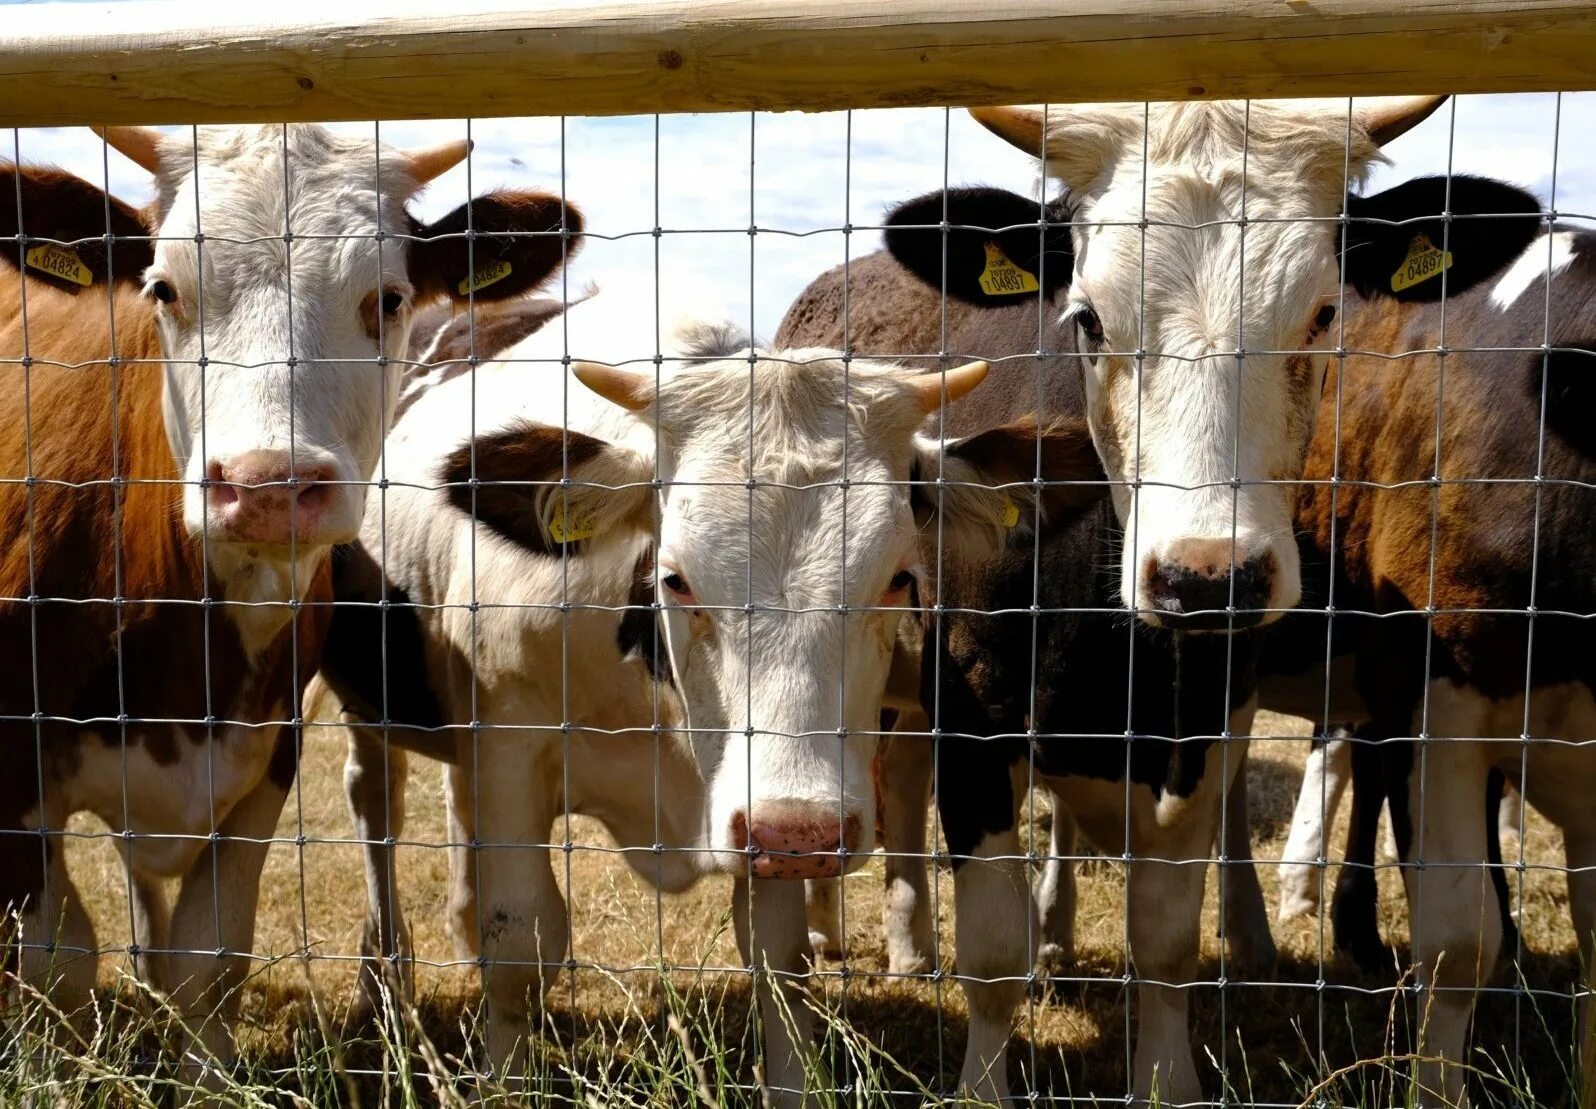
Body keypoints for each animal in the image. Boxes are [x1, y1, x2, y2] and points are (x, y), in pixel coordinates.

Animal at [0, 126, 584, 1091]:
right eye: (164, 289)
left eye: (388, 298)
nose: (270, 485)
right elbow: (52, 961)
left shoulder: (263, 757)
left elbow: (210, 962)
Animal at [775, 99, 1544, 1104]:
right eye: (1089, 316)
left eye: (1324, 312)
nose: (1206, 574)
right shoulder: (972, 704)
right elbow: (992, 953)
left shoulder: (1204, 716)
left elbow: (1168, 940)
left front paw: (1163, 1070)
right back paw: (844, 932)